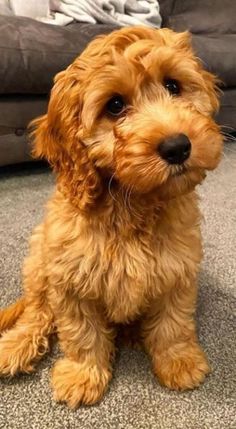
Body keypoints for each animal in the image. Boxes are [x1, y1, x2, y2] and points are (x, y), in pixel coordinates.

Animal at [0, 26, 222, 408]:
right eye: (115, 106)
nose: (178, 147)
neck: (132, 205)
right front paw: (82, 375)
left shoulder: (177, 271)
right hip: (40, 260)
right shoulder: (70, 280)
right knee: (37, 311)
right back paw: (16, 345)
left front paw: (179, 362)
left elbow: (173, 324)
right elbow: (81, 333)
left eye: (173, 86)